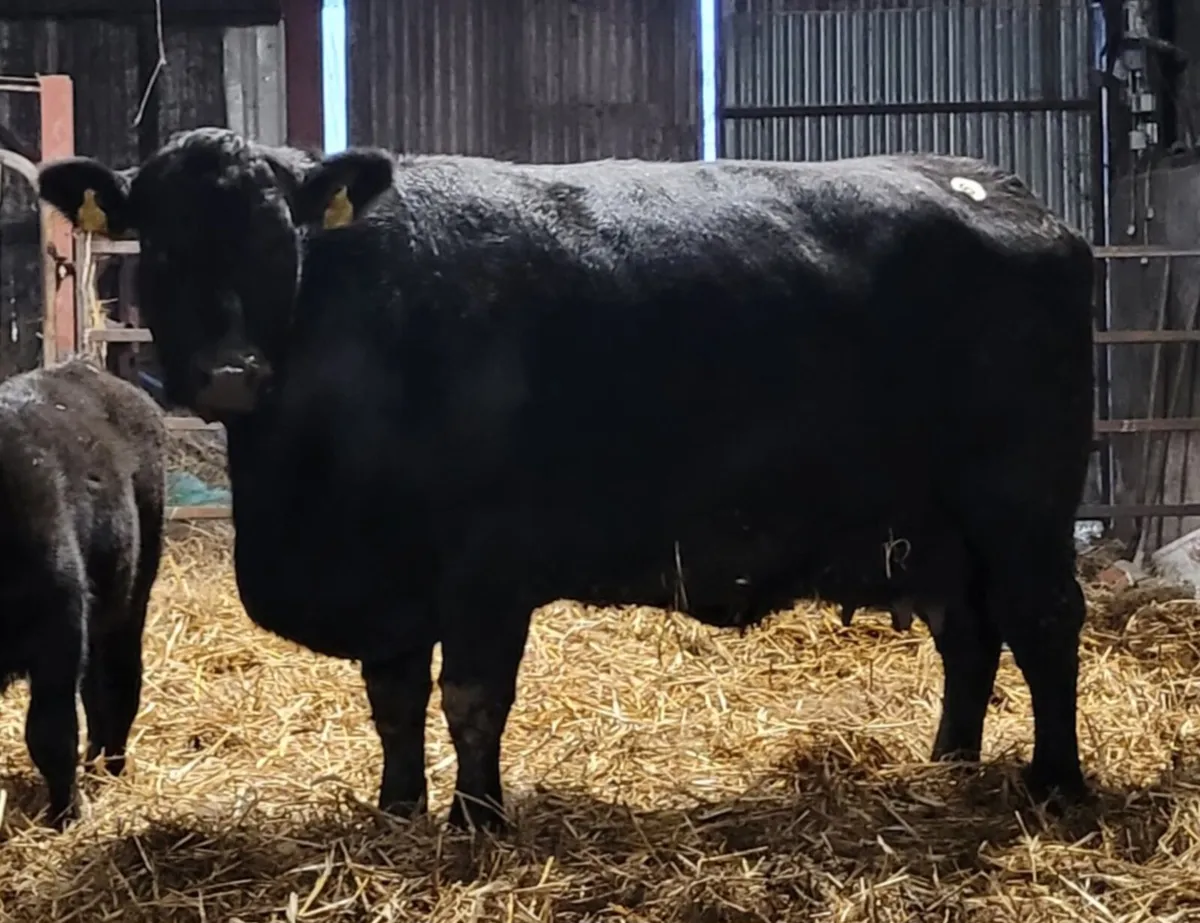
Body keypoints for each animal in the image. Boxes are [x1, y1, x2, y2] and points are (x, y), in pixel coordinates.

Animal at [0, 358, 166, 828]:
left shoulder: (59, 628)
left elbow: (50, 733)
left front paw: (66, 814)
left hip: (131, 596)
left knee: (121, 680)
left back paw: (111, 765)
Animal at [38, 128, 1095, 832]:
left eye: (276, 240)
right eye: (165, 243)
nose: (230, 372)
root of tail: (1002, 190)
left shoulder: (485, 563)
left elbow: (470, 696)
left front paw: (476, 820)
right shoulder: (389, 581)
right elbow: (393, 700)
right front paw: (396, 811)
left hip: (1021, 503)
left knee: (1043, 622)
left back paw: (1056, 782)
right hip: (938, 526)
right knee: (969, 635)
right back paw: (949, 765)